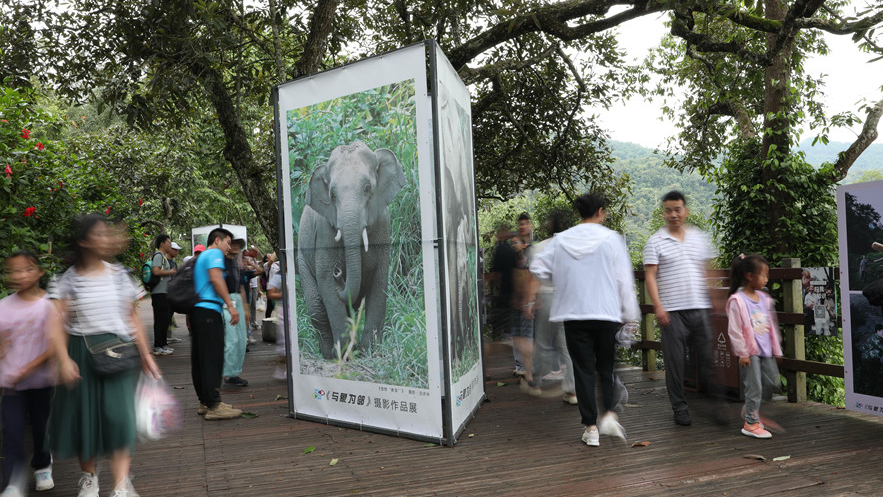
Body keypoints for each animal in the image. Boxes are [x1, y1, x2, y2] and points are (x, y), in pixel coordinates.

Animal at [297, 141, 407, 359]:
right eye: (332, 195)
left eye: (367, 188)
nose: (338, 271)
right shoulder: (324, 231)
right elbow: (326, 282)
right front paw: (344, 353)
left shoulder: (384, 224)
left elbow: (379, 283)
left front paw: (368, 351)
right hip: (301, 259)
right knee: (316, 307)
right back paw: (328, 354)